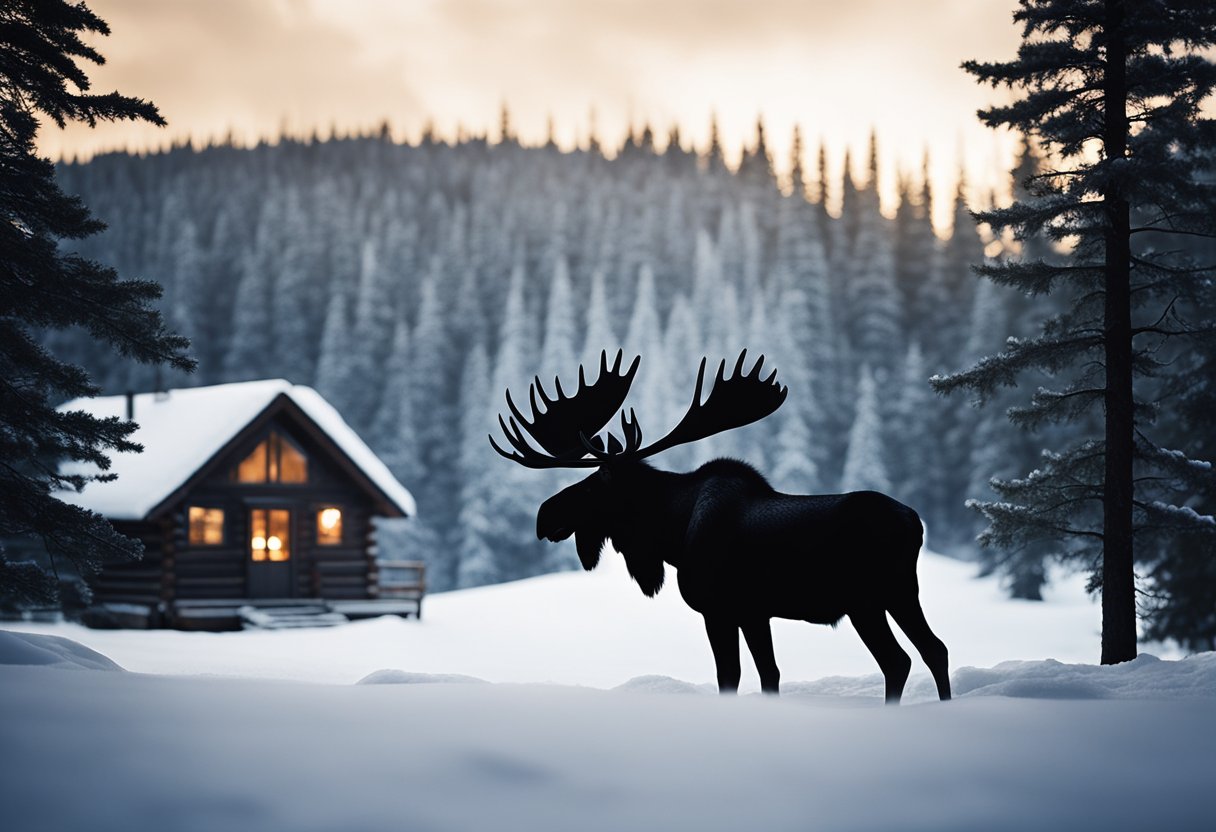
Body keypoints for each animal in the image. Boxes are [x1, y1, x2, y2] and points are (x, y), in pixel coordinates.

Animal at [491, 350, 948, 700]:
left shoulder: (719, 609)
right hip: (900, 592)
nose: (544, 515)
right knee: (933, 649)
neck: (670, 535)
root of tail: (916, 522)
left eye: (593, 484)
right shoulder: (754, 613)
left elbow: (732, 676)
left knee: (898, 660)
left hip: (866, 600)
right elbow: (769, 674)